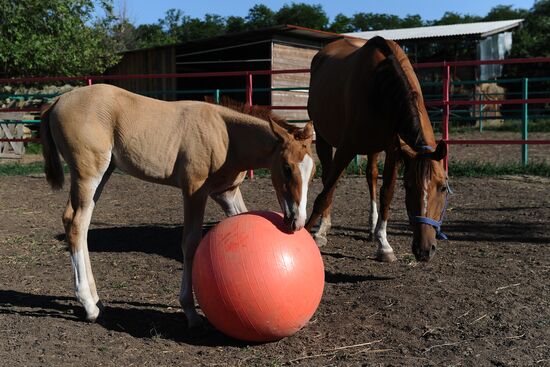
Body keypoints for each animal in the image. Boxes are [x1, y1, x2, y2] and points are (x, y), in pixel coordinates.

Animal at [40, 85, 314, 330]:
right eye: (287, 168)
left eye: (312, 175)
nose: (297, 221)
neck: (226, 135)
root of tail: (58, 101)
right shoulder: (194, 191)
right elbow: (190, 243)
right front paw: (190, 311)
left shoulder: (226, 193)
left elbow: (240, 219)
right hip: (88, 174)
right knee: (75, 223)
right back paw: (89, 306)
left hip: (104, 173)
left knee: (82, 225)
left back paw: (96, 300)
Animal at [308, 36, 450, 262]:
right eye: (409, 186)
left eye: (443, 187)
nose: (424, 250)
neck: (382, 85)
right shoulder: (346, 148)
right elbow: (325, 193)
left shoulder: (394, 150)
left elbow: (386, 194)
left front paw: (384, 244)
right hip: (323, 138)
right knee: (328, 179)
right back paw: (323, 230)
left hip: (373, 147)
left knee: (371, 176)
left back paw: (371, 229)